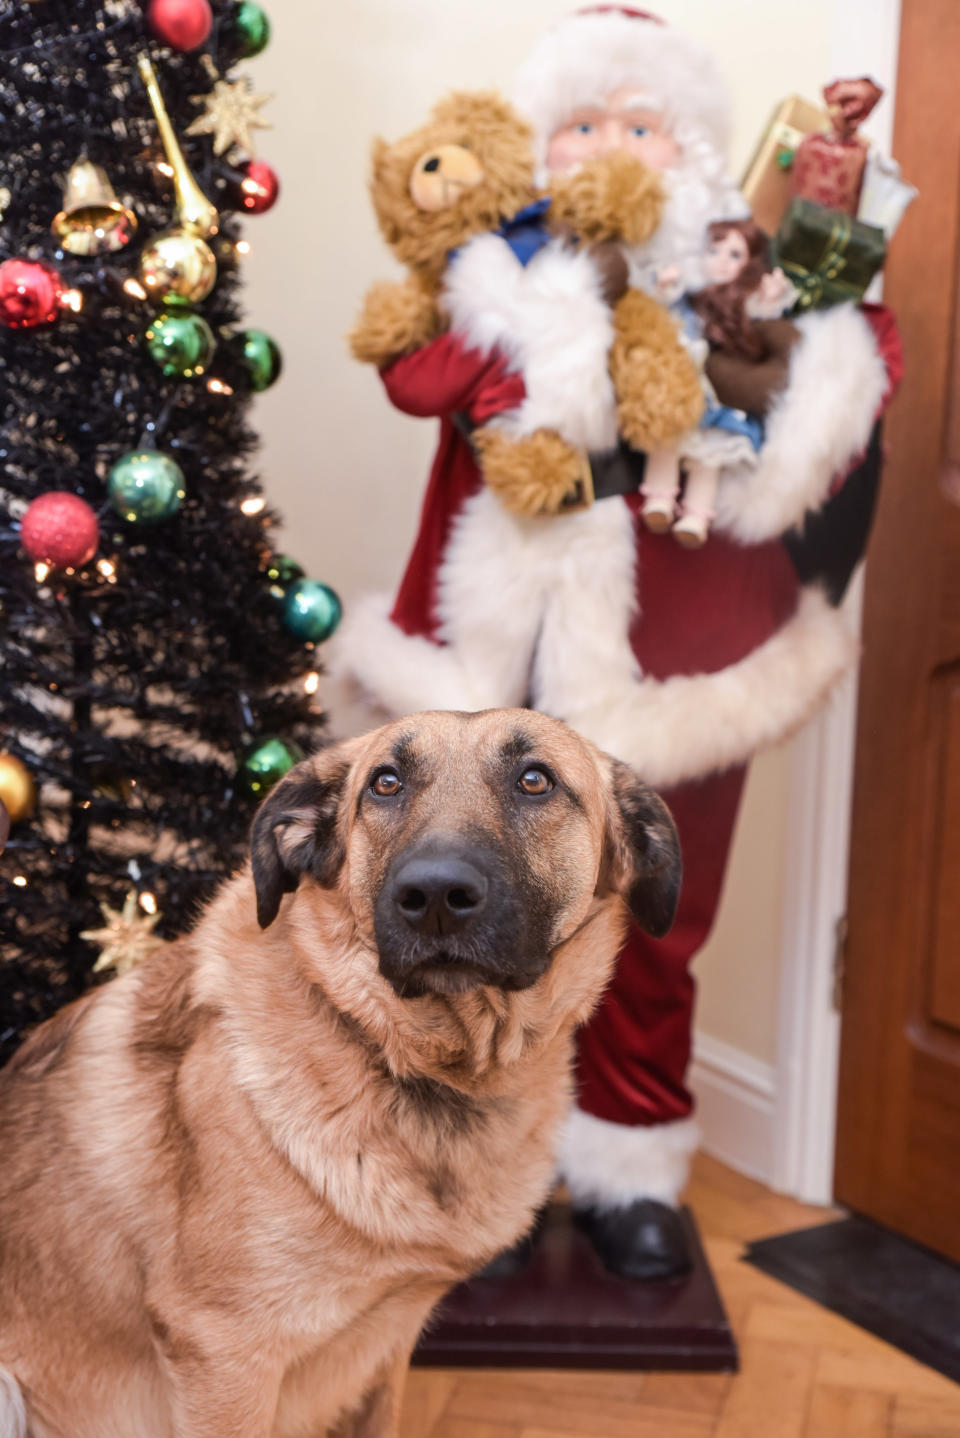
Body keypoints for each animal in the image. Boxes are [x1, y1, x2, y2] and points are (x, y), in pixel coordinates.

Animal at [0, 710, 681, 1438]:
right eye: (385, 783)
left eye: (535, 781)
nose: (434, 897)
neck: (412, 1061)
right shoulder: (222, 1357)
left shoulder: (385, 1345)